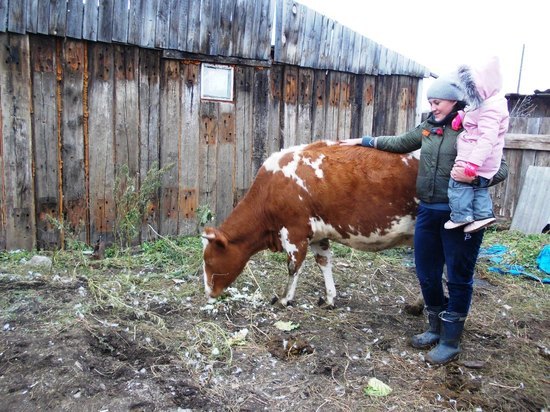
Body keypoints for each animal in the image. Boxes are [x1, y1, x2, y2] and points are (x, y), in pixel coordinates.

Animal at [203, 141, 418, 306]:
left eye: (208, 261)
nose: (208, 292)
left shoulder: (294, 232)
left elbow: (293, 266)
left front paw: (285, 299)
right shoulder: (317, 235)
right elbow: (324, 262)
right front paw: (330, 298)